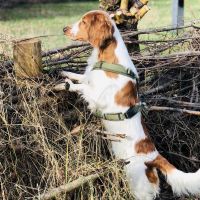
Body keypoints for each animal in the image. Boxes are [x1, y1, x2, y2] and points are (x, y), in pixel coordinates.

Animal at [54, 10, 200, 199]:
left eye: (84, 22)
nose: (64, 29)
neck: (107, 60)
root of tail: (154, 157)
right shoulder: (89, 79)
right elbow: (81, 77)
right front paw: (64, 71)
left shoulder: (97, 97)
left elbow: (80, 86)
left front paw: (65, 84)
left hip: (139, 186)